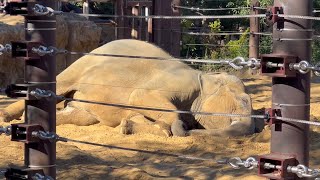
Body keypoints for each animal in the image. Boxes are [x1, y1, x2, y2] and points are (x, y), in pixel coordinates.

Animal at [0, 39, 255, 137]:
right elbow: (140, 96)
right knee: (59, 83)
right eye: (243, 100)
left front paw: (129, 125)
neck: (206, 78)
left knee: (78, 115)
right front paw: (172, 127)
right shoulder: (180, 82)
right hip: (82, 64)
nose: (190, 130)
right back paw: (7, 116)